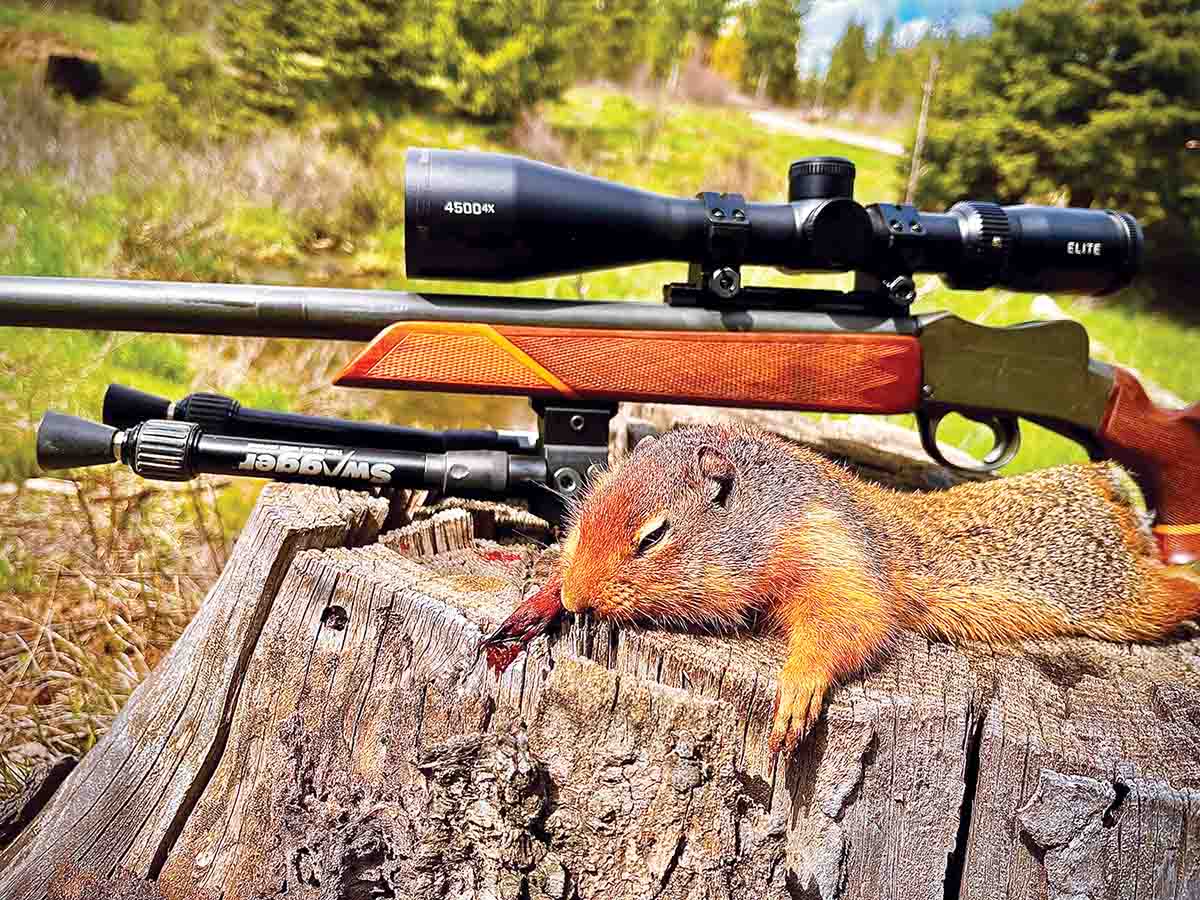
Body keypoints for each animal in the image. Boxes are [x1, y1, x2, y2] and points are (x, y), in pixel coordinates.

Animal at [540, 422, 1200, 753]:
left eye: (653, 536)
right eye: (591, 496)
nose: (575, 598)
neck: (771, 511)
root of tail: (1113, 496)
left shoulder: (834, 555)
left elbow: (848, 623)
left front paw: (797, 691)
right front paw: (545, 586)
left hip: (1122, 597)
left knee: (1167, 591)